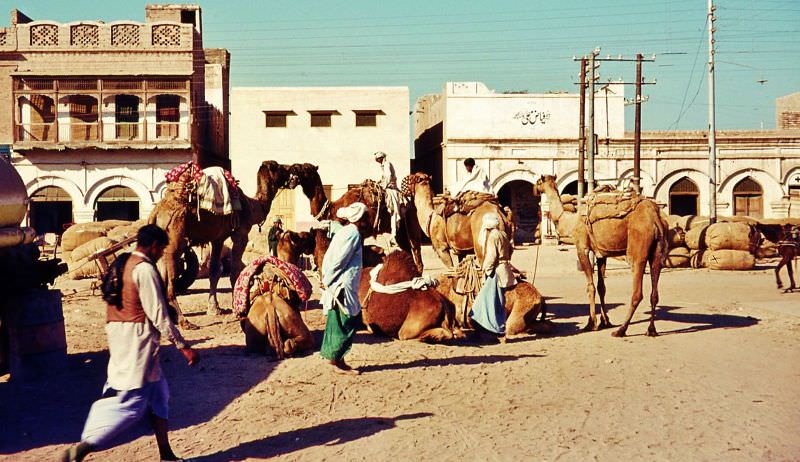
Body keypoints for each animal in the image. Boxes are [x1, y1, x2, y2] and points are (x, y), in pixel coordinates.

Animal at [149, 161, 300, 326]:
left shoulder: (218, 238)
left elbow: (215, 270)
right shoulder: (241, 233)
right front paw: (238, 310)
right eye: (280, 167)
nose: (294, 173)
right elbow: (235, 271)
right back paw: (184, 321)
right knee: (170, 277)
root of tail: (156, 212)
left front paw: (214, 309)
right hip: (174, 238)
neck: (250, 205)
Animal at [288, 162, 424, 272]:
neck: (334, 209)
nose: (293, 167)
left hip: (410, 226)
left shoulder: (360, 230)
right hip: (401, 233)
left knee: (417, 254)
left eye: (306, 168)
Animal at [536, 175, 672, 338]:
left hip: (637, 248)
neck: (570, 222)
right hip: (658, 252)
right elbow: (602, 287)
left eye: (539, 182)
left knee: (637, 292)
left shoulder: (582, 248)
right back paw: (651, 330)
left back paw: (621, 330)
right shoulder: (601, 253)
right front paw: (605, 321)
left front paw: (591, 323)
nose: (535, 189)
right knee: (654, 292)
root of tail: (655, 217)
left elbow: (591, 286)